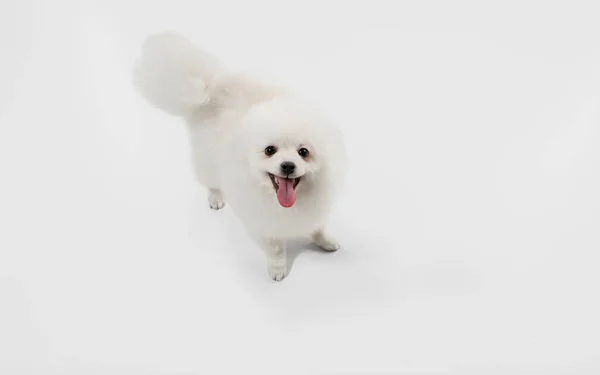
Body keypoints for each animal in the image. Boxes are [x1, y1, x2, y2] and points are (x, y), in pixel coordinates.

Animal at [131, 33, 346, 282]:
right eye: (270, 150)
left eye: (304, 152)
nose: (288, 165)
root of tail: (212, 85)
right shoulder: (263, 222)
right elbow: (275, 249)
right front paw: (277, 269)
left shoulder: (315, 209)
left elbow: (317, 226)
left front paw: (325, 240)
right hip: (207, 157)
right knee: (211, 180)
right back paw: (215, 197)